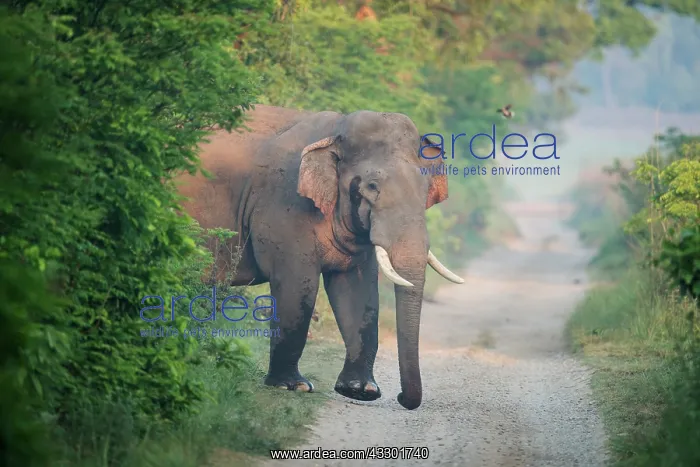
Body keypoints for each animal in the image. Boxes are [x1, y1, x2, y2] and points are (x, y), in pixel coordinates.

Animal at [176, 104, 464, 410]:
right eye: (372, 186)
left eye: (425, 190)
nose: (400, 397)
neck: (335, 131)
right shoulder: (284, 202)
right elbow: (297, 286)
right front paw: (294, 386)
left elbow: (358, 292)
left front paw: (361, 390)